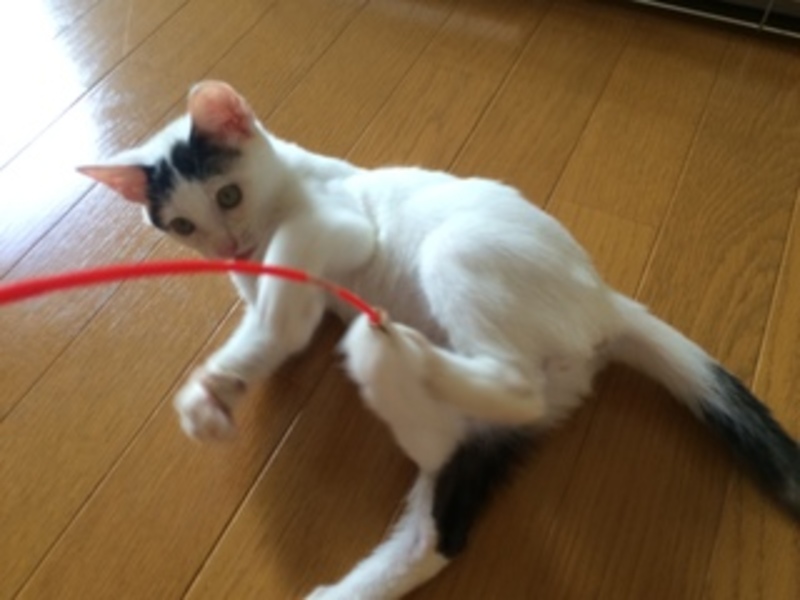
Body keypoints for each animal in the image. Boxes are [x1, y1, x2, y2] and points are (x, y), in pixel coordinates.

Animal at [79, 80, 799, 600]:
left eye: (227, 194)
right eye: (182, 225)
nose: (229, 245)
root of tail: (603, 301)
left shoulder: (339, 223)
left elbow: (288, 292)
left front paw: (247, 354)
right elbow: (272, 336)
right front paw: (217, 391)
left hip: (457, 251)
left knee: (512, 383)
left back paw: (392, 353)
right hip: (488, 426)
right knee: (440, 517)